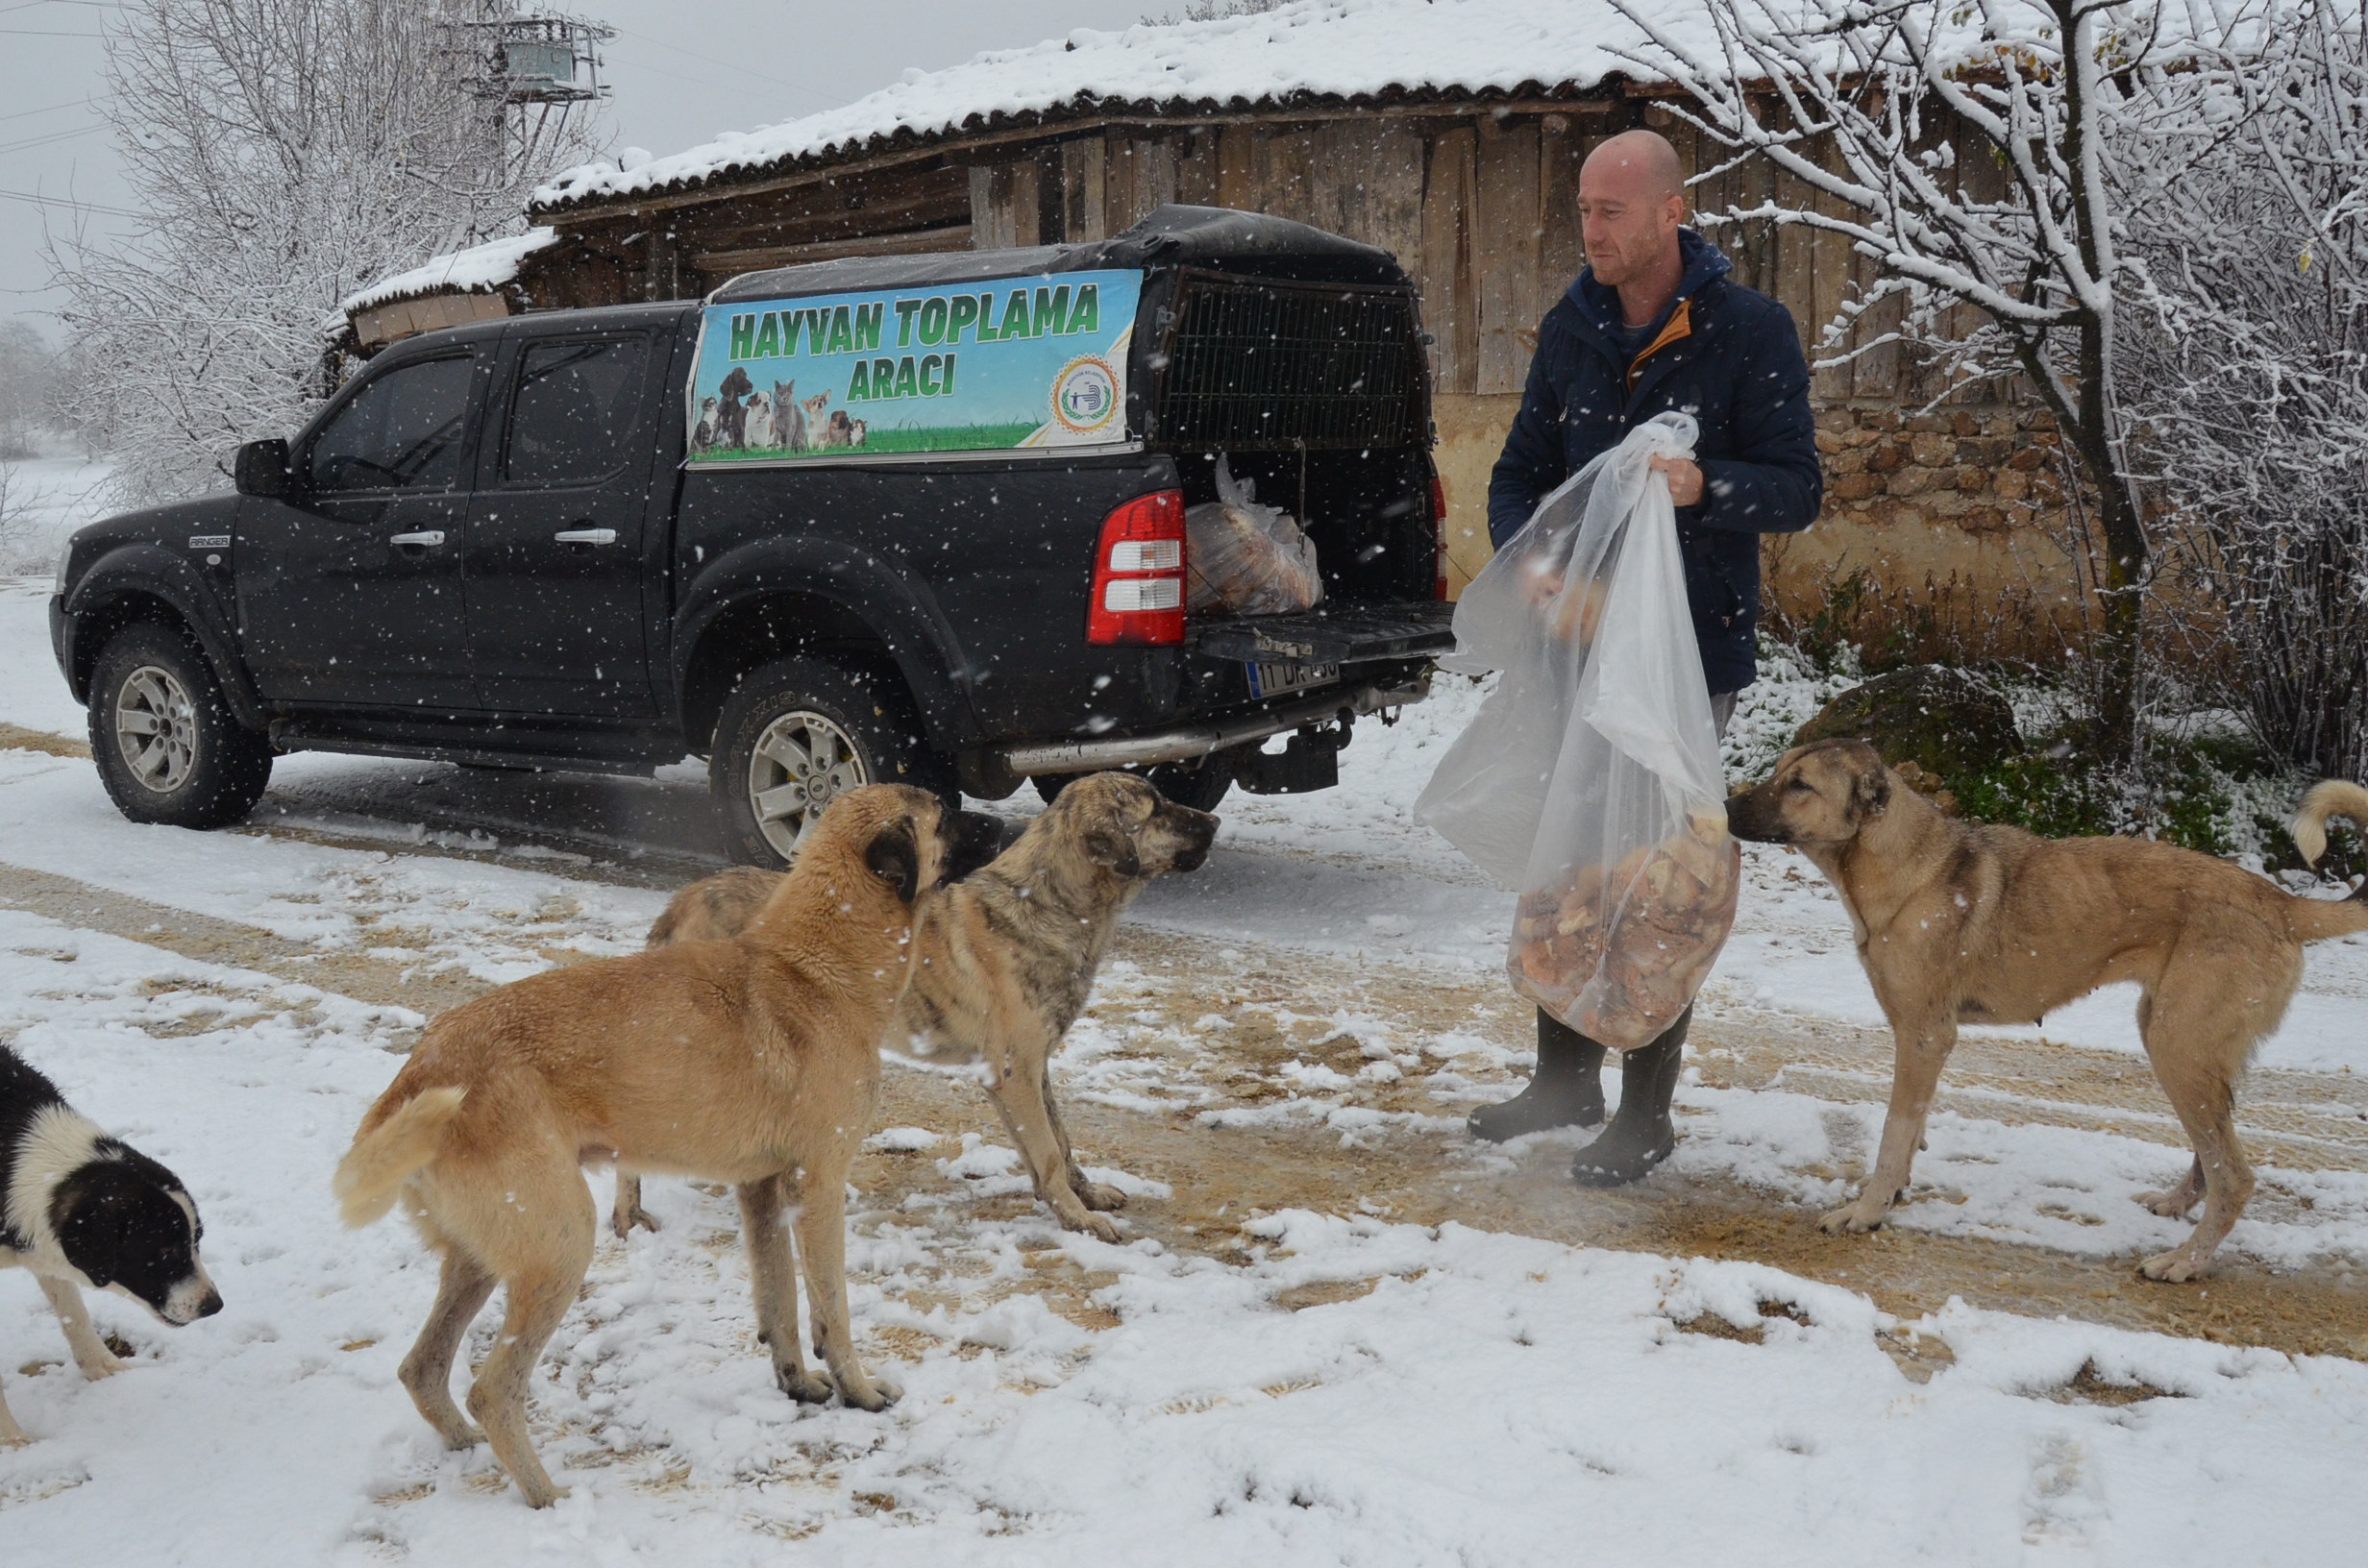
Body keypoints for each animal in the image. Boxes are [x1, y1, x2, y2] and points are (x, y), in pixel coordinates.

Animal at [2, 1041, 222, 1449]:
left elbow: (74, 1313)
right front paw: (11, 1440)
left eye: (196, 1241)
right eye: (165, 1252)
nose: (214, 1306)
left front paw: (103, 1367)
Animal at [331, 786, 999, 1515]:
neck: (814, 966)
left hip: (481, 1260)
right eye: (944, 811)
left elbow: (780, 1303)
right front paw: (861, 1392)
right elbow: (831, 1309)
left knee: (421, 1368)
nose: (1007, 823)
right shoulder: (818, 1185)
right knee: (491, 1389)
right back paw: (548, 1498)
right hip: (560, 1246)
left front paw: (797, 1383)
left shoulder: (761, 1191)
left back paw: (469, 1449)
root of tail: (418, 1074)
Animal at [625, 767, 1221, 1250]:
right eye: (1155, 808)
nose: (1214, 820)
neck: (1049, 903)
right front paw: (1079, 1220)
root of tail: (686, 900)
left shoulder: (1031, 1070)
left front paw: (1083, 1196)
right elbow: (1050, 1152)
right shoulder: (1015, 1073)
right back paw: (629, 1215)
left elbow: (1059, 1143)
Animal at [1723, 744, 2368, 1288]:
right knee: (2211, 1158)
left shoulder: (1924, 1037)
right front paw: (1893, 1195)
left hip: (2178, 1050)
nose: (1724, 806)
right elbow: (1910, 1135)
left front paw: (1866, 1211)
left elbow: (1893, 1134)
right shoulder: (1925, 1042)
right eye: (1779, 771)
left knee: (2235, 1176)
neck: (1898, 866)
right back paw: (2178, 1206)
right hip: (2182, 1045)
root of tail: (2281, 904)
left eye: (1800, 784)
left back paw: (2185, 1262)